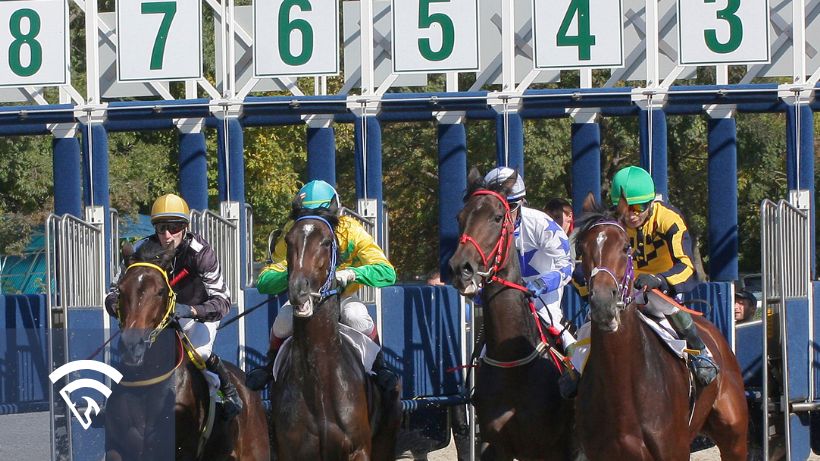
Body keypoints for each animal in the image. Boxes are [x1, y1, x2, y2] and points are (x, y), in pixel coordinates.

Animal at [572, 192, 748, 458]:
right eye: (581, 249)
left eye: (625, 247)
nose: (603, 303)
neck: (623, 390)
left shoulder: (674, 451)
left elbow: (683, 263)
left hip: (734, 435)